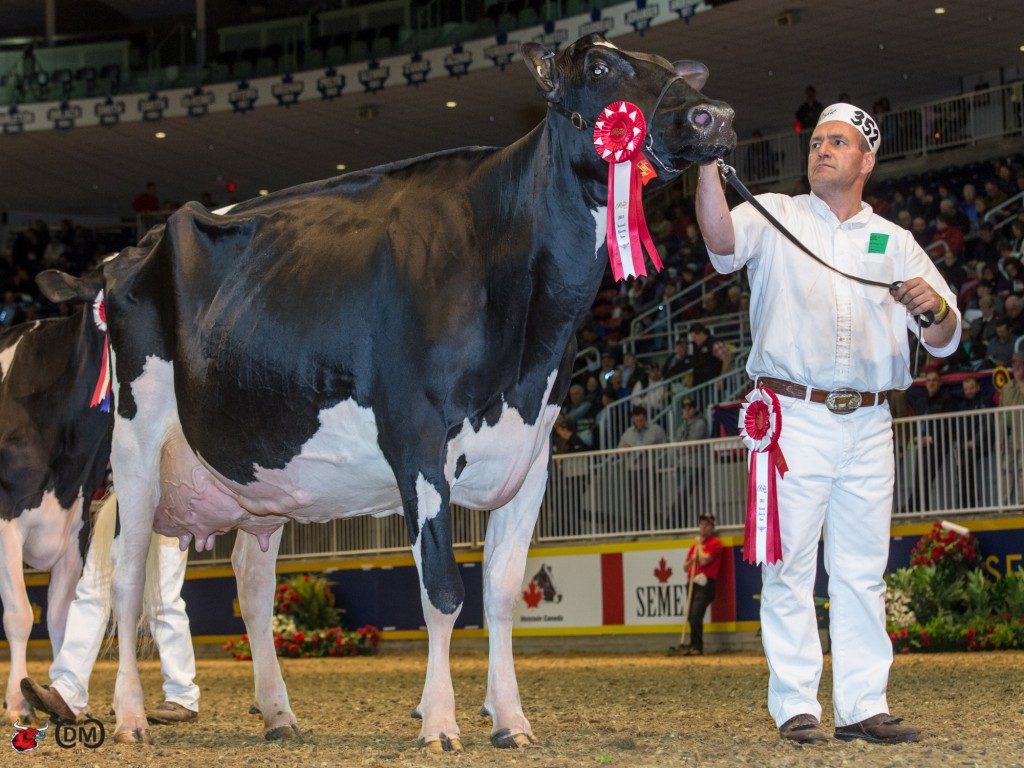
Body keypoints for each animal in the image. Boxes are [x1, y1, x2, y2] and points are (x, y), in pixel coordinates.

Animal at [38, 33, 734, 749]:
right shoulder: (418, 440)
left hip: (259, 482)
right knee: (124, 580)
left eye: (671, 68)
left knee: (252, 589)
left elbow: (503, 593)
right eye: (599, 67)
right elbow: (444, 591)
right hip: (136, 444)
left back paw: (278, 713)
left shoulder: (533, 451)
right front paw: (441, 721)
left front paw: (510, 720)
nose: (715, 117)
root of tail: (127, 252)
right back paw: (128, 716)